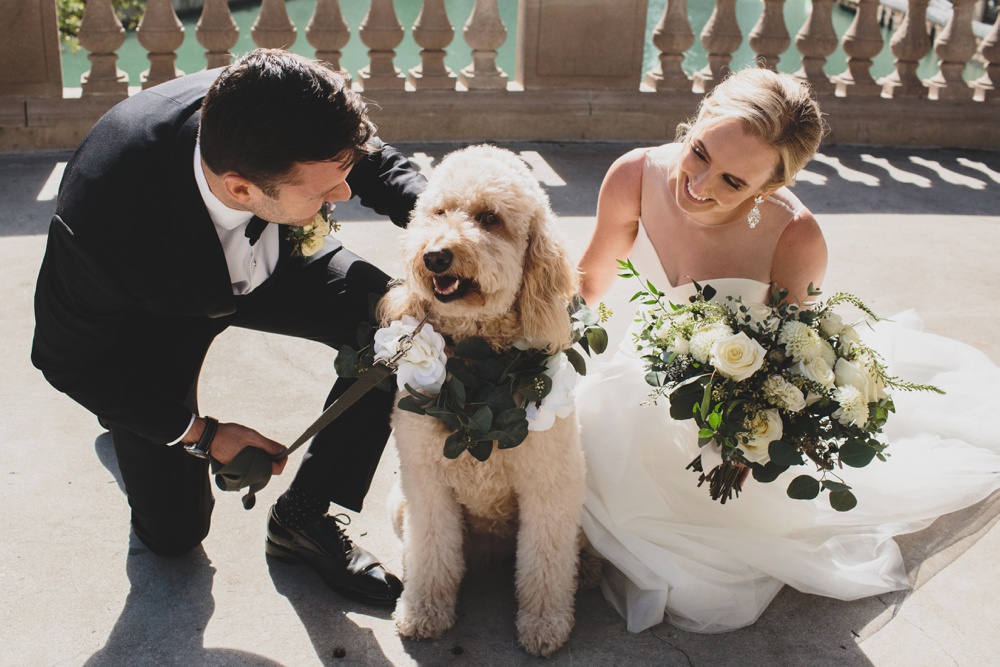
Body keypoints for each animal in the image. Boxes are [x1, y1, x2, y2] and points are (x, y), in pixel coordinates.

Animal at [378, 145, 588, 656]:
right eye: (438, 212)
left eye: (489, 218)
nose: (435, 256)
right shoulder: (427, 484)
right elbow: (432, 551)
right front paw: (424, 611)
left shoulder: (550, 487)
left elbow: (546, 562)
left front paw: (545, 623)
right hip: (400, 504)